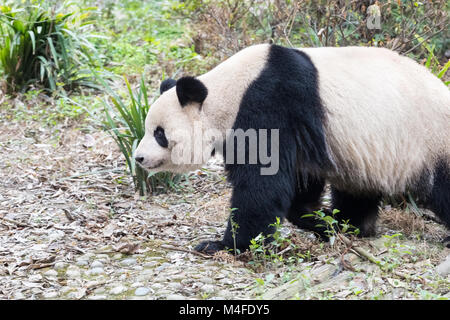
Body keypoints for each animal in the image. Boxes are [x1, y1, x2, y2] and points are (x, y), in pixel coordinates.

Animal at [135, 44, 450, 255]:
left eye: (159, 133)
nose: (138, 157)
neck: (226, 92)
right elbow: (298, 180)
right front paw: (320, 221)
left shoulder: (269, 102)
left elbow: (262, 181)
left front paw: (225, 244)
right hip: (367, 153)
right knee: (358, 189)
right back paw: (351, 224)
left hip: (431, 138)